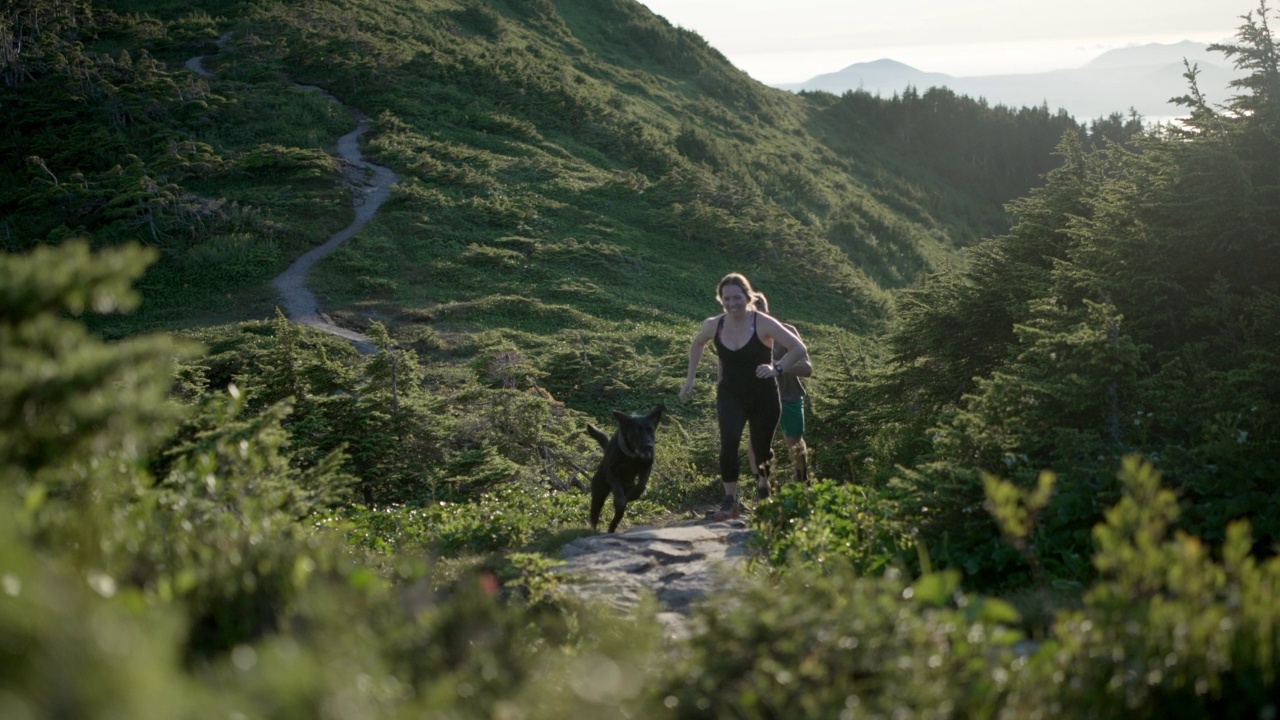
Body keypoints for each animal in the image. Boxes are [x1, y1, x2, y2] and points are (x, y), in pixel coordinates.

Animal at [586, 404, 665, 532]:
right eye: (637, 430)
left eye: (651, 430)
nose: (649, 446)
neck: (632, 455)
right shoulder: (611, 471)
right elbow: (617, 489)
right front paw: (620, 499)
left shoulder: (647, 466)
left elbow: (641, 486)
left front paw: (632, 496)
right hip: (599, 493)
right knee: (595, 514)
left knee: (616, 517)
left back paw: (611, 529)